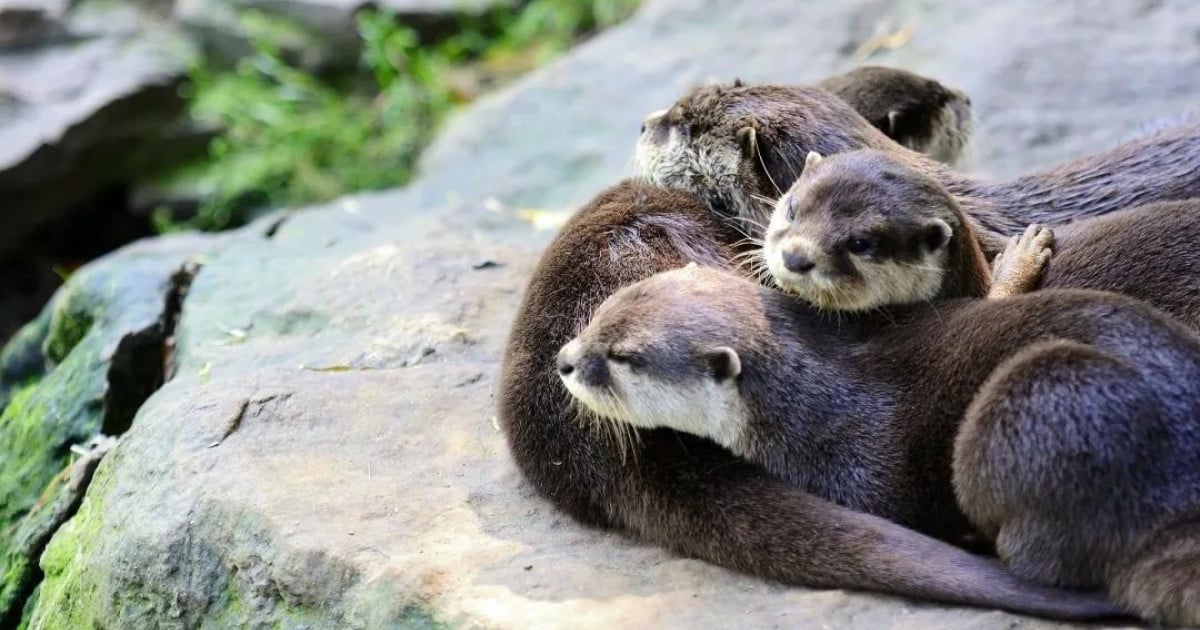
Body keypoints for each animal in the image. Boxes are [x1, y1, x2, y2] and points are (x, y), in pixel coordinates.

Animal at [560, 263, 1200, 626]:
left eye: (625, 357)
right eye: (601, 311)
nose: (564, 361)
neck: (814, 401)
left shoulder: (858, 466)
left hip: (1042, 399)